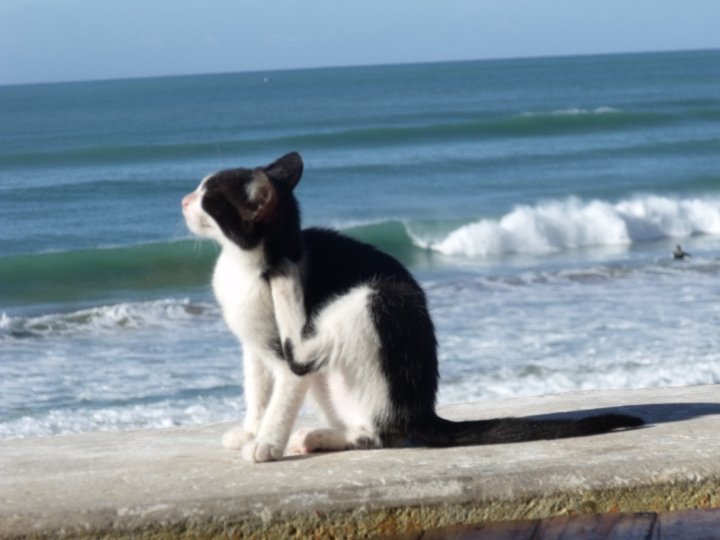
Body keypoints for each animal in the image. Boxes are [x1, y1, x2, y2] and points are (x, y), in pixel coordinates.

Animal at [183, 150, 644, 462]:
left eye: (208, 197)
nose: (184, 201)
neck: (242, 266)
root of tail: (421, 412)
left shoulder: (281, 359)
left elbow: (283, 394)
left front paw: (266, 443)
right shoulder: (254, 350)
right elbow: (258, 392)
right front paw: (249, 431)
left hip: (380, 299)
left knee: (323, 370)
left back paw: (286, 287)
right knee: (370, 435)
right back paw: (320, 437)